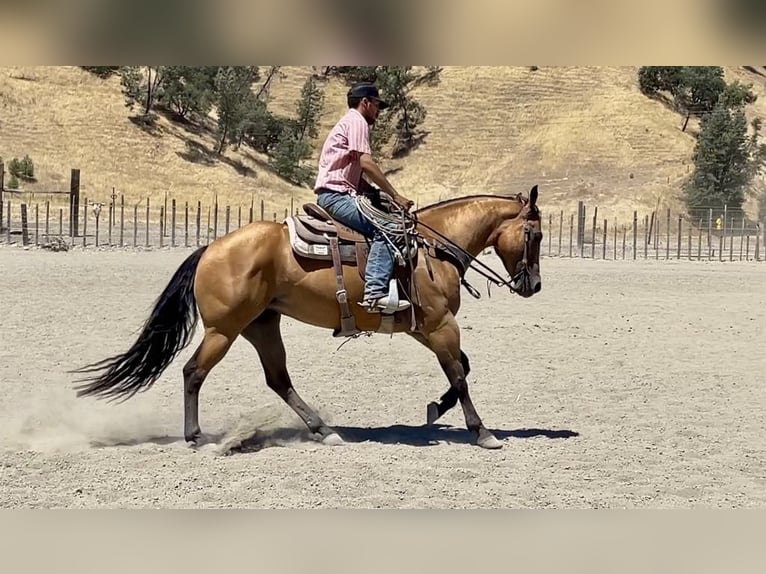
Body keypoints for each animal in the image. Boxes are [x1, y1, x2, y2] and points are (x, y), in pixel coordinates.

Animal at [72, 185, 543, 450]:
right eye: (534, 234)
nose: (534, 286)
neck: (432, 247)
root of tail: (210, 248)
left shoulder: (425, 328)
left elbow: (462, 368)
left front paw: (435, 409)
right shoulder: (441, 325)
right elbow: (460, 375)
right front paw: (482, 432)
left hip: (262, 326)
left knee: (278, 379)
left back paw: (323, 429)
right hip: (224, 329)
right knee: (193, 371)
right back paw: (196, 437)